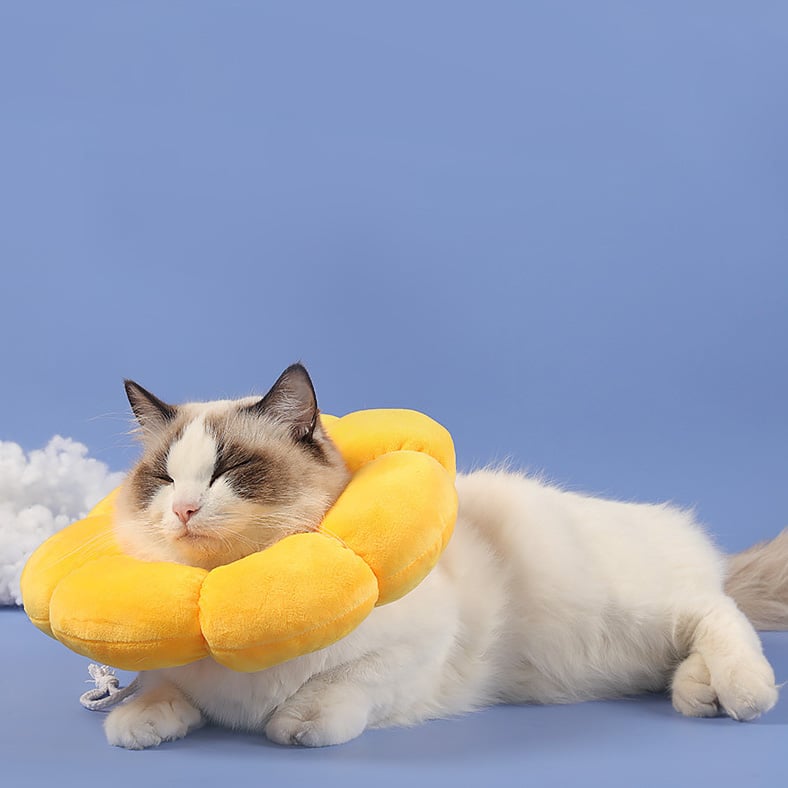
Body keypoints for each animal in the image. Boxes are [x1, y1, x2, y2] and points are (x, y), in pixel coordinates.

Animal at [104, 366, 788, 748]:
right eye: (164, 479)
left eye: (230, 471)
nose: (183, 509)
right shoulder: (176, 671)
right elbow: (160, 688)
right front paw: (138, 725)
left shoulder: (413, 650)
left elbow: (336, 691)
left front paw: (294, 725)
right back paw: (698, 693)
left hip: (621, 611)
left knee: (715, 609)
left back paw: (741, 692)